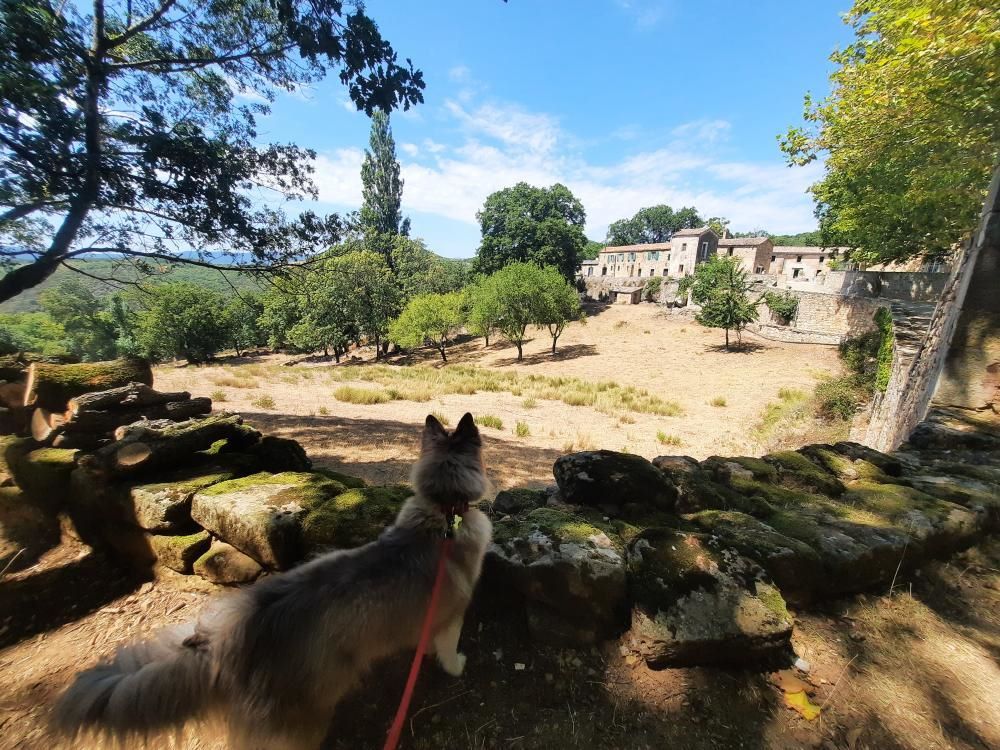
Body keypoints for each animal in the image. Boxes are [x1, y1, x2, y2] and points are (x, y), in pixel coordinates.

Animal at [53, 414, 492, 748]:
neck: (442, 510)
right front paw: (457, 666)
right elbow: (448, 649)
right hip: (301, 719)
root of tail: (229, 641)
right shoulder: (452, 615)